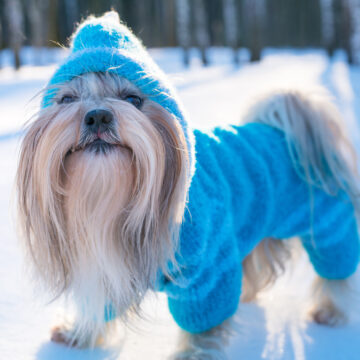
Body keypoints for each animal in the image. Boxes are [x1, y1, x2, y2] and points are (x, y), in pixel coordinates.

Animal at [16, 11, 360, 360]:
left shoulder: (208, 270)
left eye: (133, 99)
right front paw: (79, 334)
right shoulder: (104, 262)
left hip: (328, 226)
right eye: (67, 99)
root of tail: (287, 133)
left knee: (336, 270)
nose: (98, 116)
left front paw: (194, 355)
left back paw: (330, 311)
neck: (113, 197)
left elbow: (204, 325)